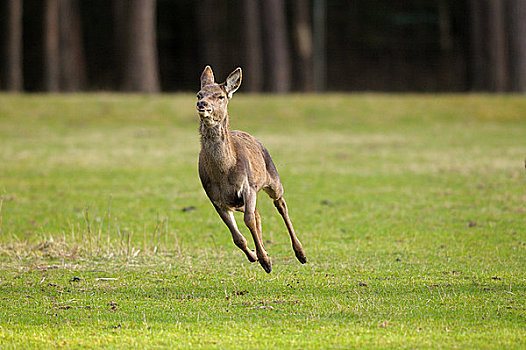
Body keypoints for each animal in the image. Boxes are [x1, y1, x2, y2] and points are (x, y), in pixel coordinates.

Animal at [196, 66, 308, 274]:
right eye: (199, 94)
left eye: (220, 96)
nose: (202, 104)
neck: (224, 173)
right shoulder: (216, 199)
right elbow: (237, 237)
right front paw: (256, 256)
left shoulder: (248, 186)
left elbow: (248, 220)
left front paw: (265, 261)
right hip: (239, 201)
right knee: (257, 215)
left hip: (272, 178)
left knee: (280, 205)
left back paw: (301, 253)